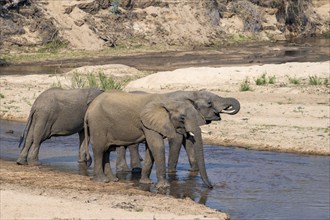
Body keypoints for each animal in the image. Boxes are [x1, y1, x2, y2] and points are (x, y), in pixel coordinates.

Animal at [83, 90, 214, 188]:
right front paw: (164, 186)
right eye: (182, 118)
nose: (211, 187)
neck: (167, 100)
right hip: (98, 123)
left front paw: (146, 183)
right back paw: (102, 181)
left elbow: (150, 148)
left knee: (107, 150)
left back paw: (113, 180)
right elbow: (157, 145)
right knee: (100, 149)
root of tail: (88, 110)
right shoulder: (147, 122)